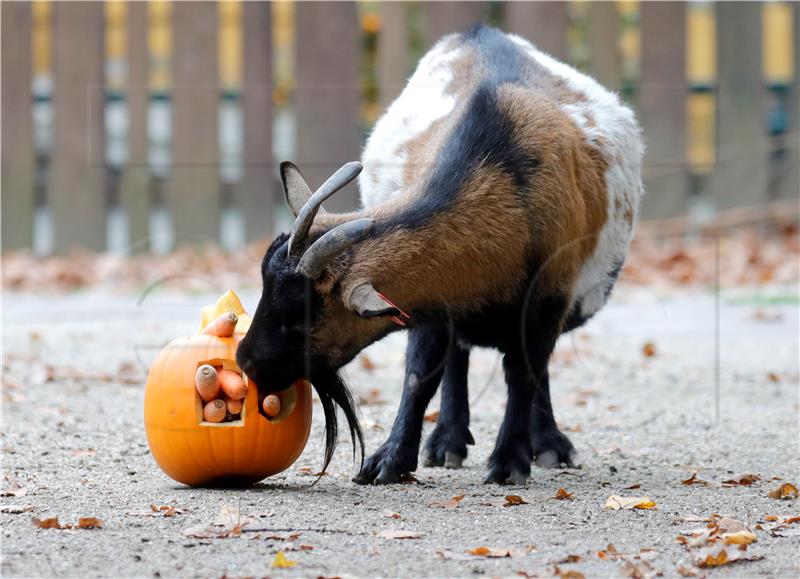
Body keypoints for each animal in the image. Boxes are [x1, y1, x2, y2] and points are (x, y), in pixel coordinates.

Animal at [238, 23, 644, 484]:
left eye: (301, 319)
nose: (246, 362)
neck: (505, 170)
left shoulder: (546, 300)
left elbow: (523, 373)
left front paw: (510, 461)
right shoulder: (427, 300)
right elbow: (421, 373)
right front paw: (390, 460)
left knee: (534, 368)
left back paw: (548, 445)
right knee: (458, 359)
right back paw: (447, 440)